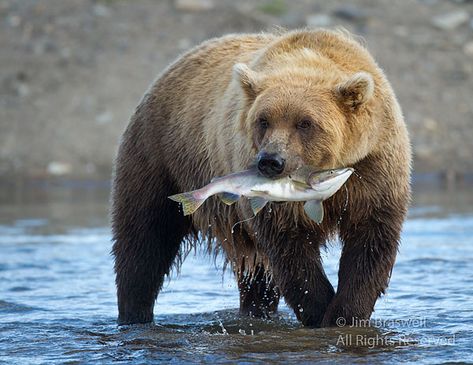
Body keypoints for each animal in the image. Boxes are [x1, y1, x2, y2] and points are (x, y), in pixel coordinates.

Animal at [110, 27, 410, 324]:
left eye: (305, 123)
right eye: (263, 120)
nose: (271, 162)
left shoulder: (373, 170)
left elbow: (371, 242)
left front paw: (344, 313)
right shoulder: (273, 199)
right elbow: (289, 250)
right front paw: (319, 308)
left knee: (255, 275)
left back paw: (255, 310)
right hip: (160, 156)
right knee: (144, 239)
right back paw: (134, 314)